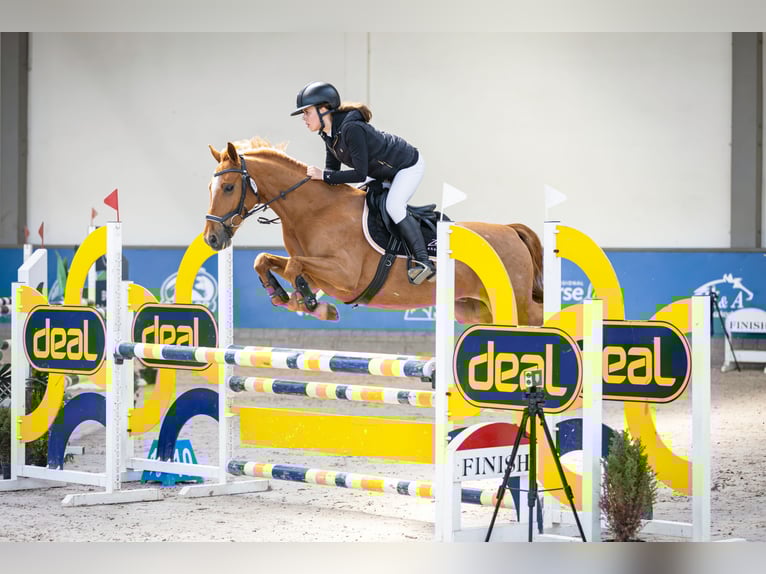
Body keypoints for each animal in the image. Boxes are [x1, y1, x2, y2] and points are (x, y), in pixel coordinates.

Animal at [203, 138, 544, 325]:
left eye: (229, 187)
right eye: (210, 187)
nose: (212, 238)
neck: (315, 210)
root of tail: (511, 231)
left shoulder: (345, 274)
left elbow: (295, 267)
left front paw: (311, 303)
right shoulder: (320, 269)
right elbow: (265, 260)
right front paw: (284, 296)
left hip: (515, 303)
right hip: (475, 309)